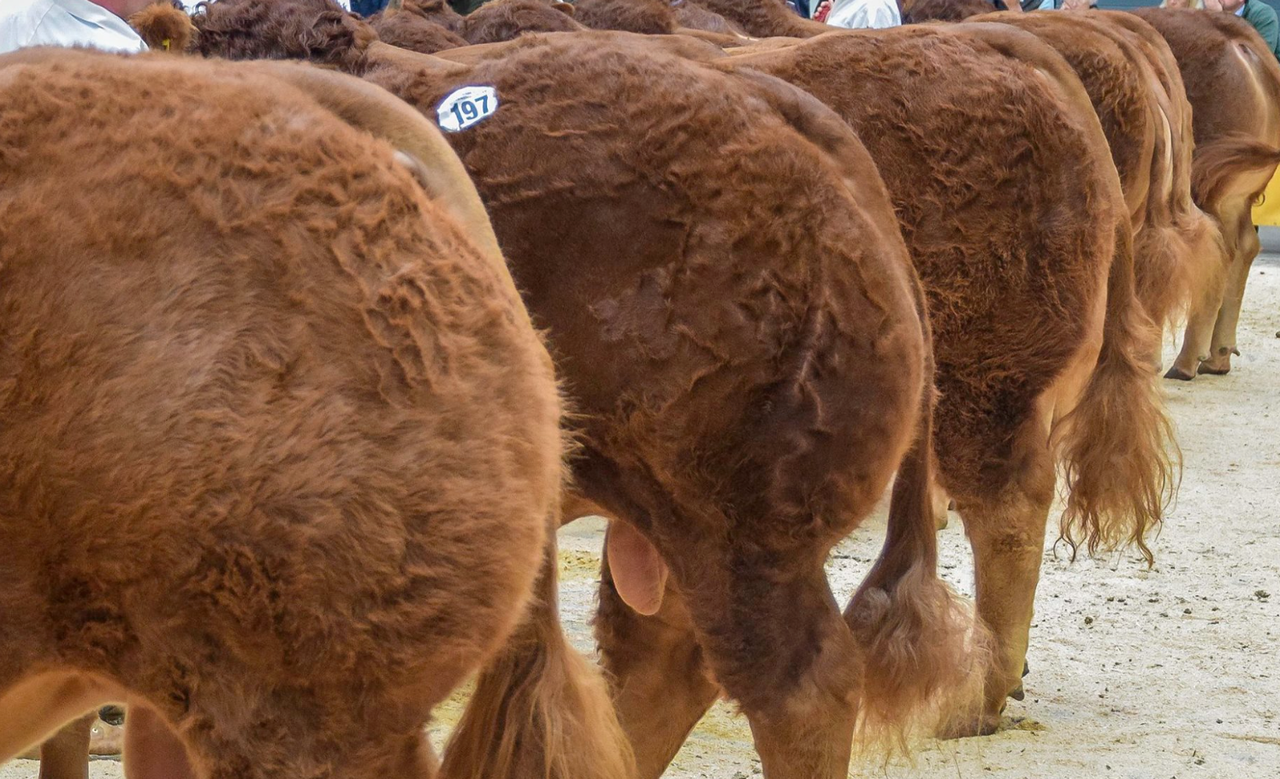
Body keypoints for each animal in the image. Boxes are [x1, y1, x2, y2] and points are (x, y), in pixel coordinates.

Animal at [1131, 8, 1280, 379]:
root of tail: (1237, 37)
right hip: (1234, 188)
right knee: (1242, 246)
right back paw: (1216, 356)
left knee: (1214, 250)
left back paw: (1184, 362)